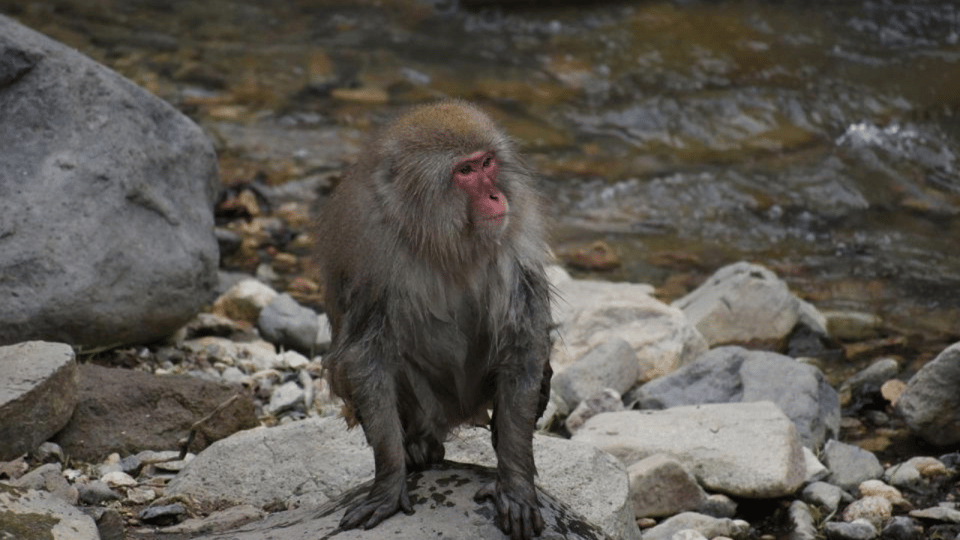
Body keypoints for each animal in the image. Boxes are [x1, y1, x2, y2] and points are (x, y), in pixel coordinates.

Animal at [318, 99, 552, 536]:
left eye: (487, 163)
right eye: (465, 171)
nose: (495, 196)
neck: (440, 238)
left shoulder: (515, 239)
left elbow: (522, 344)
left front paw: (514, 486)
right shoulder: (372, 256)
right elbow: (366, 358)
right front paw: (389, 482)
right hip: (429, 407)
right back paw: (416, 448)